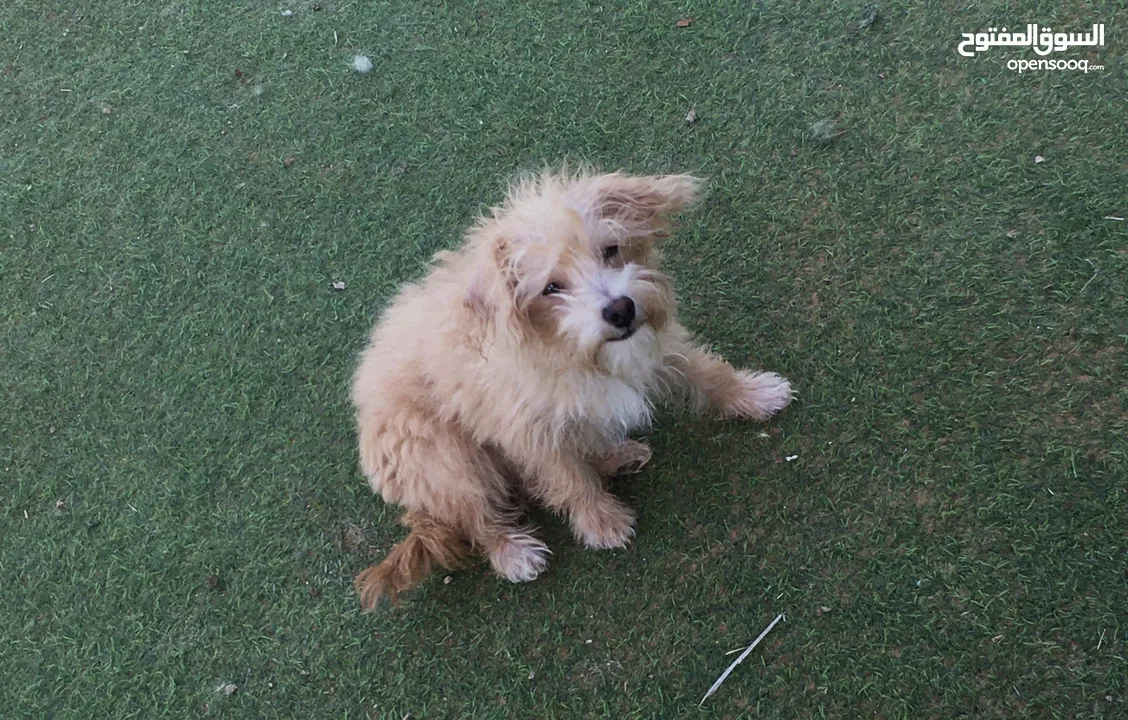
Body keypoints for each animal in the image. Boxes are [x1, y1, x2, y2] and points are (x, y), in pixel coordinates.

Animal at [351, 169, 794, 609]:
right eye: (551, 288)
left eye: (610, 250)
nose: (621, 309)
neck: (570, 353)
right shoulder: (528, 431)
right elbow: (567, 479)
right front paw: (601, 521)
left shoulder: (656, 350)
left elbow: (707, 373)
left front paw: (754, 394)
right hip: (443, 459)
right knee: (478, 513)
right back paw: (510, 549)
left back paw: (618, 455)